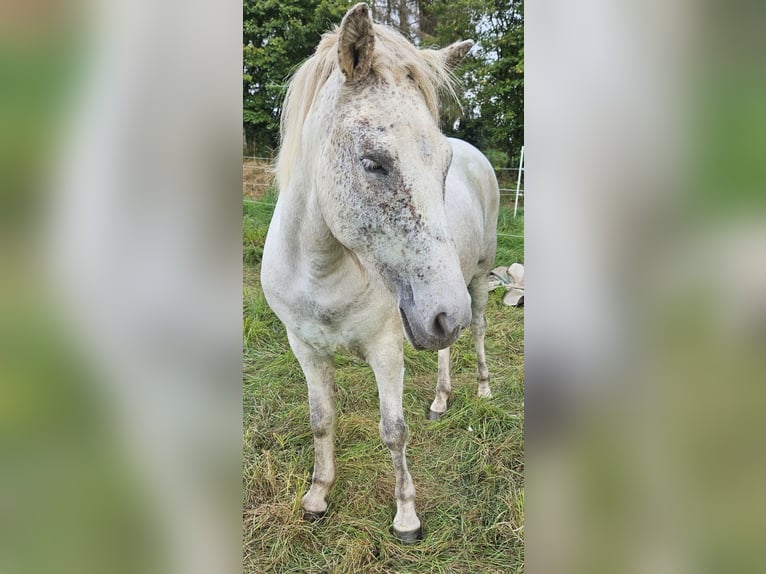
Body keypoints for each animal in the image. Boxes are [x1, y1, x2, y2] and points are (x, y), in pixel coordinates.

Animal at [262, 3, 504, 544]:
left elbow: (393, 431)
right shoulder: (304, 348)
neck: (321, 272)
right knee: (449, 346)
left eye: (444, 166)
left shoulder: (387, 348)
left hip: (475, 281)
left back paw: (481, 390)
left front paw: (406, 516)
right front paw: (317, 495)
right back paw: (440, 400)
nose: (445, 313)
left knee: (477, 328)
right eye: (373, 162)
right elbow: (321, 419)